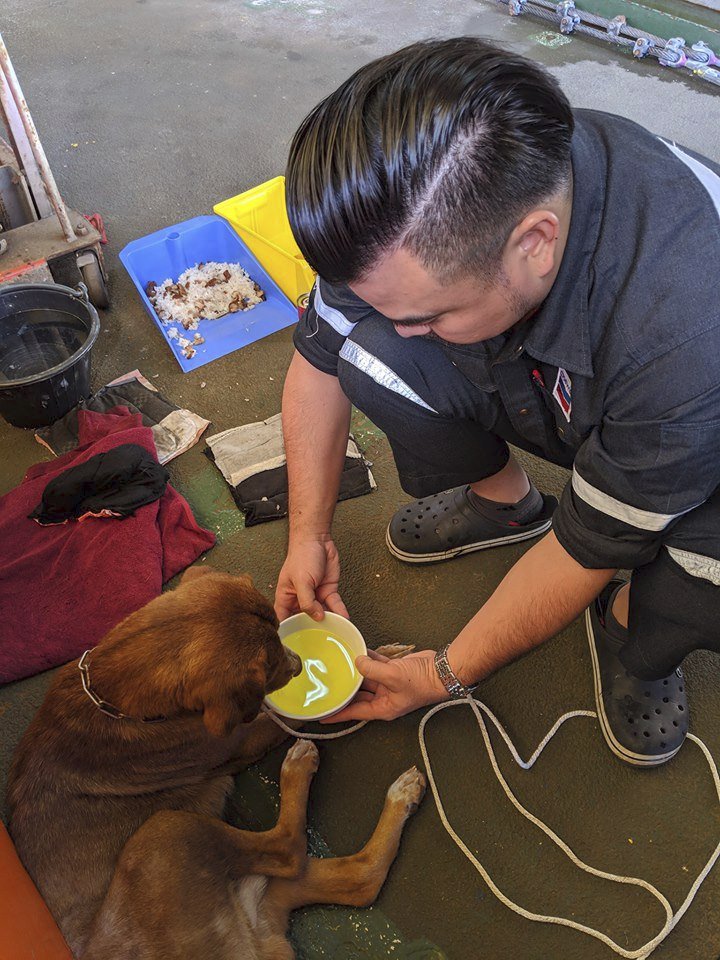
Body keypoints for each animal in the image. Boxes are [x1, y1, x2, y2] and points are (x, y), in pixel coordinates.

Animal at [7, 568, 428, 960]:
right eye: (271, 661)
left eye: (279, 633)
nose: (298, 665)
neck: (114, 692)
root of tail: (251, 939)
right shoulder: (238, 738)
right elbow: (281, 717)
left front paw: (381, 661)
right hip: (164, 833)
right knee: (290, 850)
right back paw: (299, 769)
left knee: (359, 879)